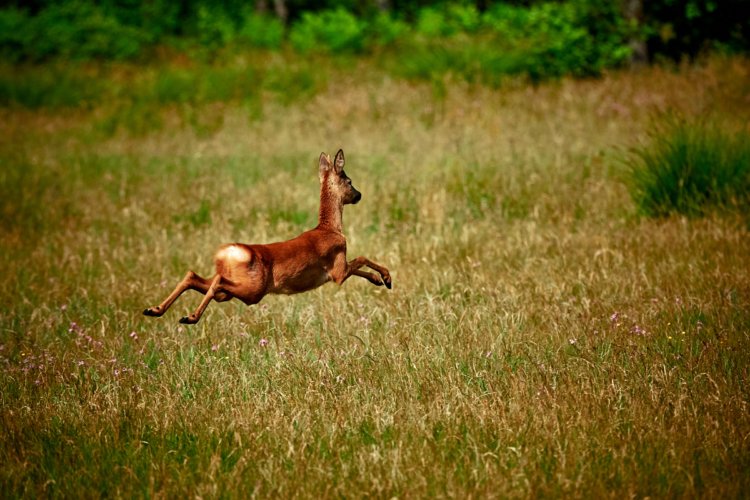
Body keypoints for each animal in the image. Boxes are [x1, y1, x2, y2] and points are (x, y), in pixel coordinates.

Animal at [143, 148, 396, 326]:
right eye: (350, 181)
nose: (359, 195)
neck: (330, 229)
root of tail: (227, 253)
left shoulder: (339, 270)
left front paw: (378, 280)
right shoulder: (338, 270)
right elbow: (362, 258)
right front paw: (387, 278)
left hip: (231, 290)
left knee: (193, 276)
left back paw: (155, 310)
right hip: (253, 289)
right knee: (216, 281)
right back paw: (190, 317)